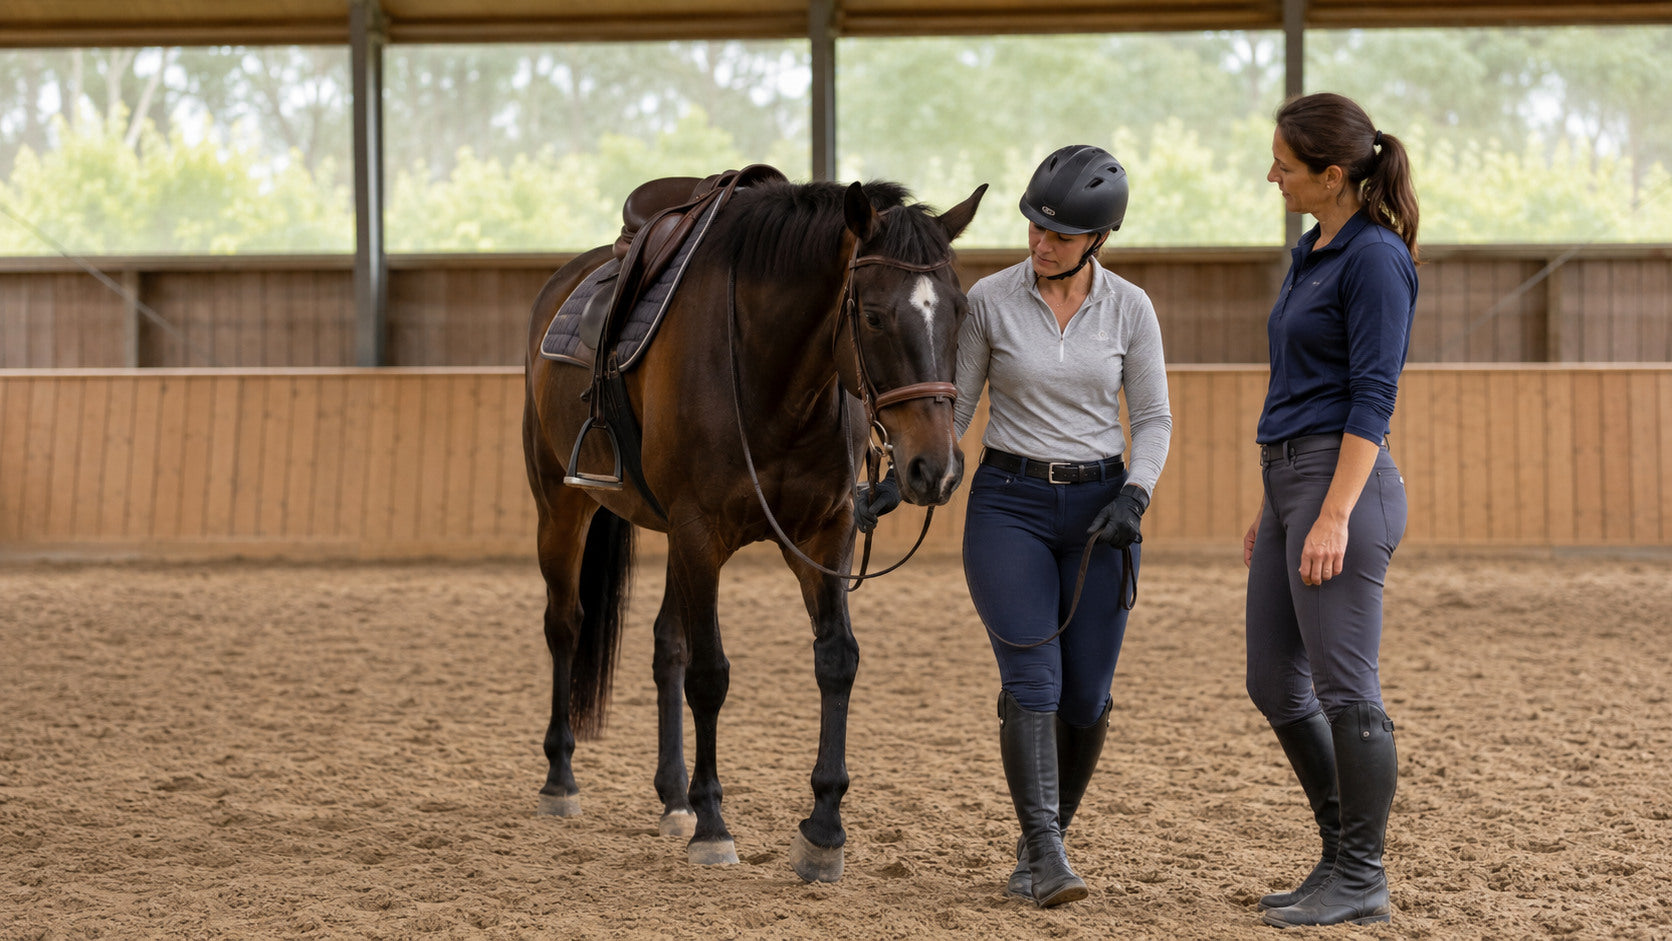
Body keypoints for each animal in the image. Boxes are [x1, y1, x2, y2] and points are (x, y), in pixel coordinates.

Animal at [522, 174, 985, 882]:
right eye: (874, 316)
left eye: (958, 313)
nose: (934, 468)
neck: (776, 379)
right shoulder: (699, 532)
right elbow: (710, 675)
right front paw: (713, 824)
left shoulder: (824, 534)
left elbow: (836, 660)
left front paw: (823, 829)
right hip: (561, 507)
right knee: (565, 627)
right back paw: (562, 780)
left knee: (665, 646)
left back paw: (672, 798)